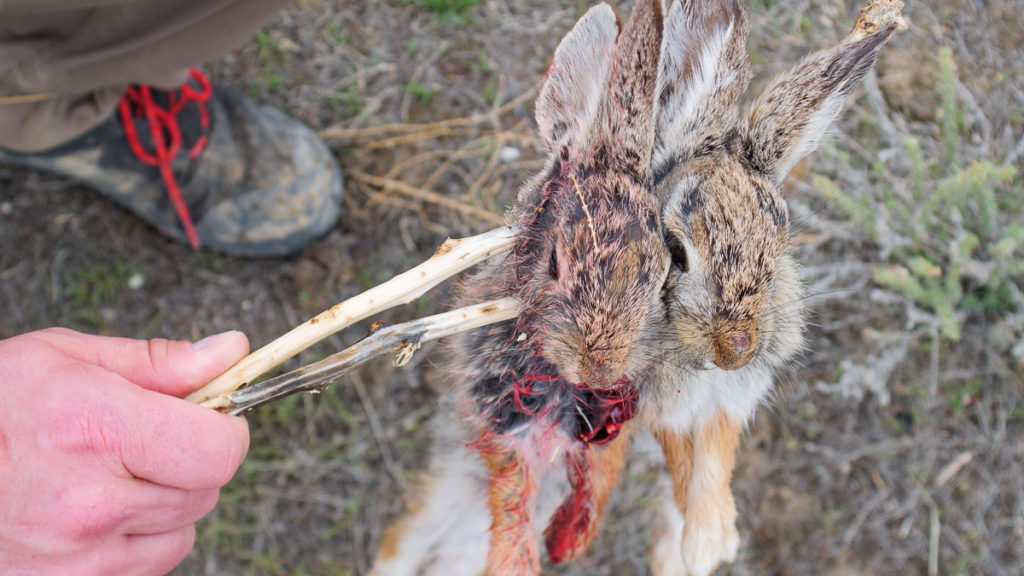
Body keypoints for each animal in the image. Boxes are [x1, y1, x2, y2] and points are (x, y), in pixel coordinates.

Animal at [371, 1, 670, 575]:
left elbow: (603, 469)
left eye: (661, 271)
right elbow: (513, 485)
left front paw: (573, 538)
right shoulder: (496, 404)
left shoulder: (609, 425)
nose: (597, 370)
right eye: (554, 263)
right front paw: (517, 558)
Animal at [639, 1, 905, 575]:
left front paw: (713, 539)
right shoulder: (653, 403)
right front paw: (701, 544)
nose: (737, 348)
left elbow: (715, 453)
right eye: (675, 251)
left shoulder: (734, 395)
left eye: (778, 243)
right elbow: (679, 457)